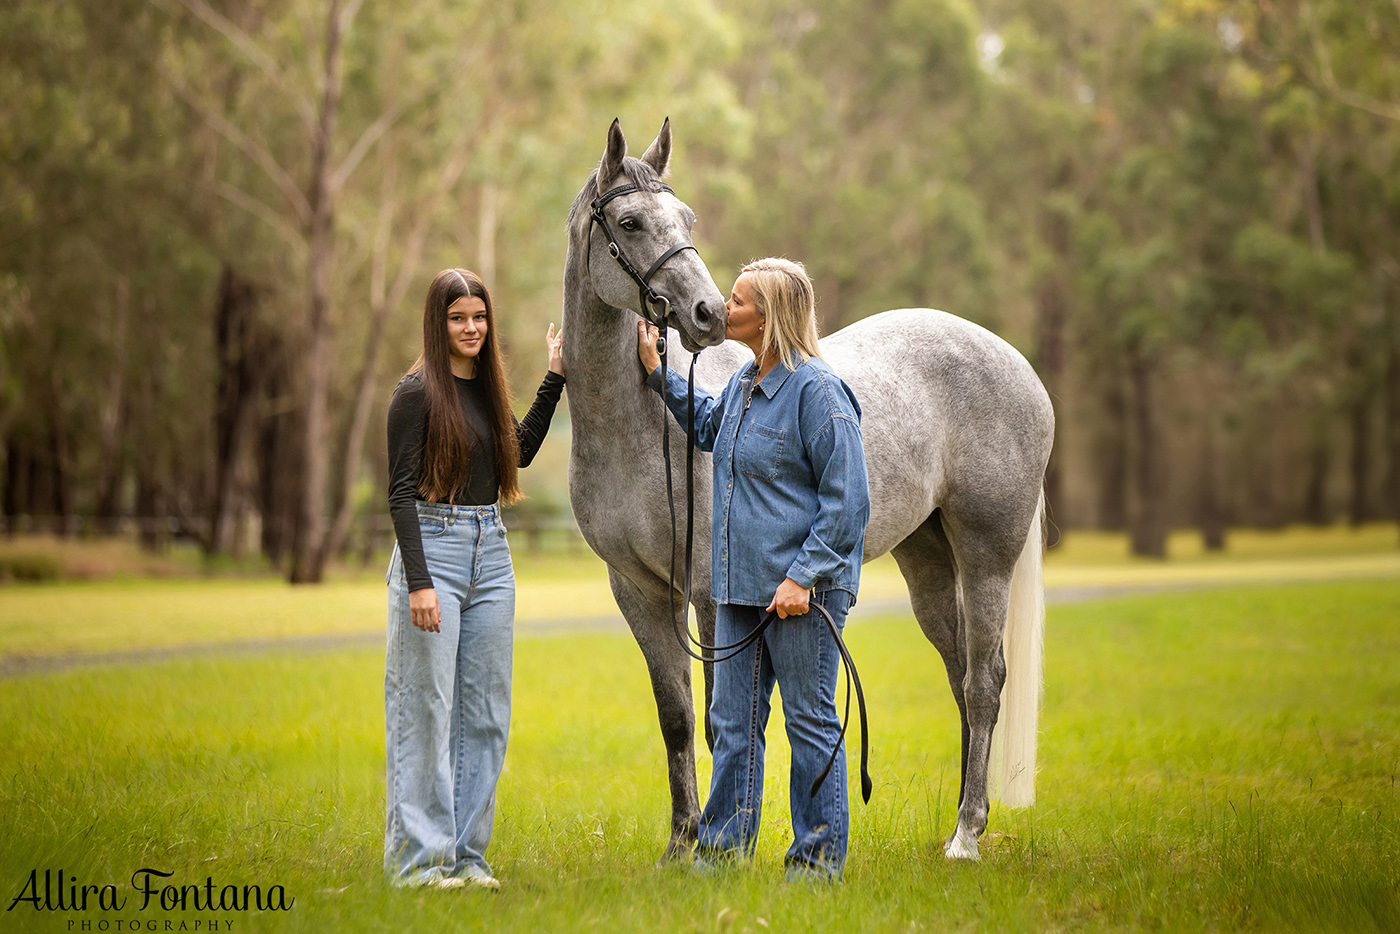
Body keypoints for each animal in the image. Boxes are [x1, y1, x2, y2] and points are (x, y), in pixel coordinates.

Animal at [557, 120, 1052, 868]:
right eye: (630, 221)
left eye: (688, 218)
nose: (705, 313)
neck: (636, 426)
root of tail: (1018, 364)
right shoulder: (637, 591)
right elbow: (676, 718)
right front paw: (679, 846)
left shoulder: (709, 591)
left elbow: (721, 719)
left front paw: (720, 845)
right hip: (928, 561)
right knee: (962, 676)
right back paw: (969, 820)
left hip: (987, 553)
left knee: (985, 680)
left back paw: (966, 835)